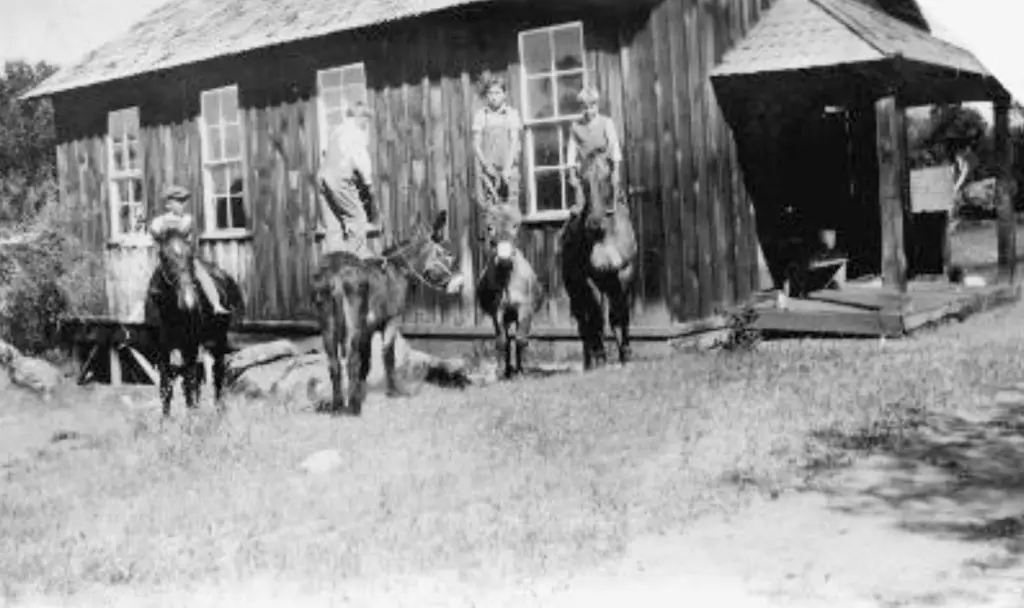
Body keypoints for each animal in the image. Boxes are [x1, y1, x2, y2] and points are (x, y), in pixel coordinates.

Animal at [144, 224, 243, 417]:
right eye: (164, 257)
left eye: (190, 256)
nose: (188, 302)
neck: (169, 313)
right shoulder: (161, 351)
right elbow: (166, 387)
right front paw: (165, 421)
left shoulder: (188, 346)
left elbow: (189, 383)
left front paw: (192, 419)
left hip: (217, 341)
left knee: (217, 374)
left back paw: (219, 411)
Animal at [311, 210, 464, 413]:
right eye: (447, 254)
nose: (459, 284)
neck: (400, 269)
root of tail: (336, 272)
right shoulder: (391, 320)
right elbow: (387, 356)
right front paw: (393, 392)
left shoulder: (367, 331)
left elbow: (366, 363)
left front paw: (361, 393)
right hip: (353, 324)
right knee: (351, 360)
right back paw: (352, 409)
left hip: (328, 325)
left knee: (334, 364)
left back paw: (337, 406)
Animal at [477, 201, 544, 376]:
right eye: (489, 227)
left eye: (516, 225)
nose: (504, 259)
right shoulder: (497, 311)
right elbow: (502, 341)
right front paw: (502, 372)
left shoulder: (525, 309)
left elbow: (521, 339)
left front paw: (522, 370)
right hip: (507, 316)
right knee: (507, 339)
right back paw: (508, 370)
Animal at [557, 147, 634, 366]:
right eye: (583, 180)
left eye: (606, 176)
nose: (593, 224)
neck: (605, 235)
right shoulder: (588, 280)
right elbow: (596, 317)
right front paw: (601, 354)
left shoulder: (624, 273)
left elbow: (621, 313)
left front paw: (626, 352)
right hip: (575, 290)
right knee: (585, 322)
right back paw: (592, 360)